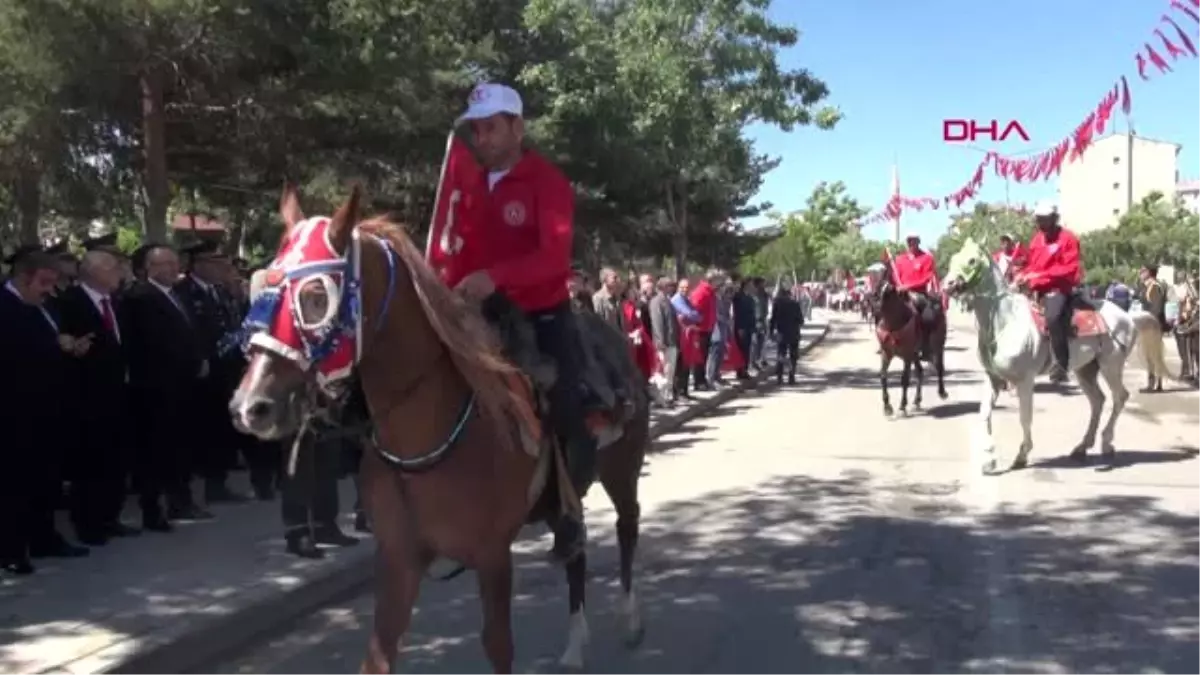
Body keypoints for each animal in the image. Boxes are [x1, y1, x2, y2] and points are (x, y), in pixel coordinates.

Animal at [229, 186, 652, 672]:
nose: (251, 406)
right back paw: (574, 645)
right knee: (577, 553)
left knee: (626, 526)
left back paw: (630, 620)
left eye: (316, 296)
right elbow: (379, 653)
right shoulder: (400, 561)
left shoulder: (492, 556)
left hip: (621, 469)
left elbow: (498, 645)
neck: (424, 435)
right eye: (265, 291)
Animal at [873, 269, 945, 415]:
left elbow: (904, 379)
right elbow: (883, 376)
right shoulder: (886, 353)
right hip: (915, 354)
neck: (893, 325)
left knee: (939, 367)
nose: (876, 309)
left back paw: (942, 392)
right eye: (877, 289)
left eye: (889, 291)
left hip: (938, 346)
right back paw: (917, 400)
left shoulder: (906, 355)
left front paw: (902, 405)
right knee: (920, 372)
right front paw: (887, 406)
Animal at [940, 236, 1166, 473]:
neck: (1005, 322)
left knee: (1119, 397)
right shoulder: (992, 378)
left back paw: (1106, 444)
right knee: (1098, 400)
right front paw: (989, 459)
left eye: (972, 260)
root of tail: (1128, 316)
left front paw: (1022, 455)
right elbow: (984, 413)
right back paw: (1082, 447)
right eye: (954, 258)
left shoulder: (1024, 380)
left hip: (1111, 365)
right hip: (1086, 369)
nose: (947, 285)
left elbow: (1025, 417)